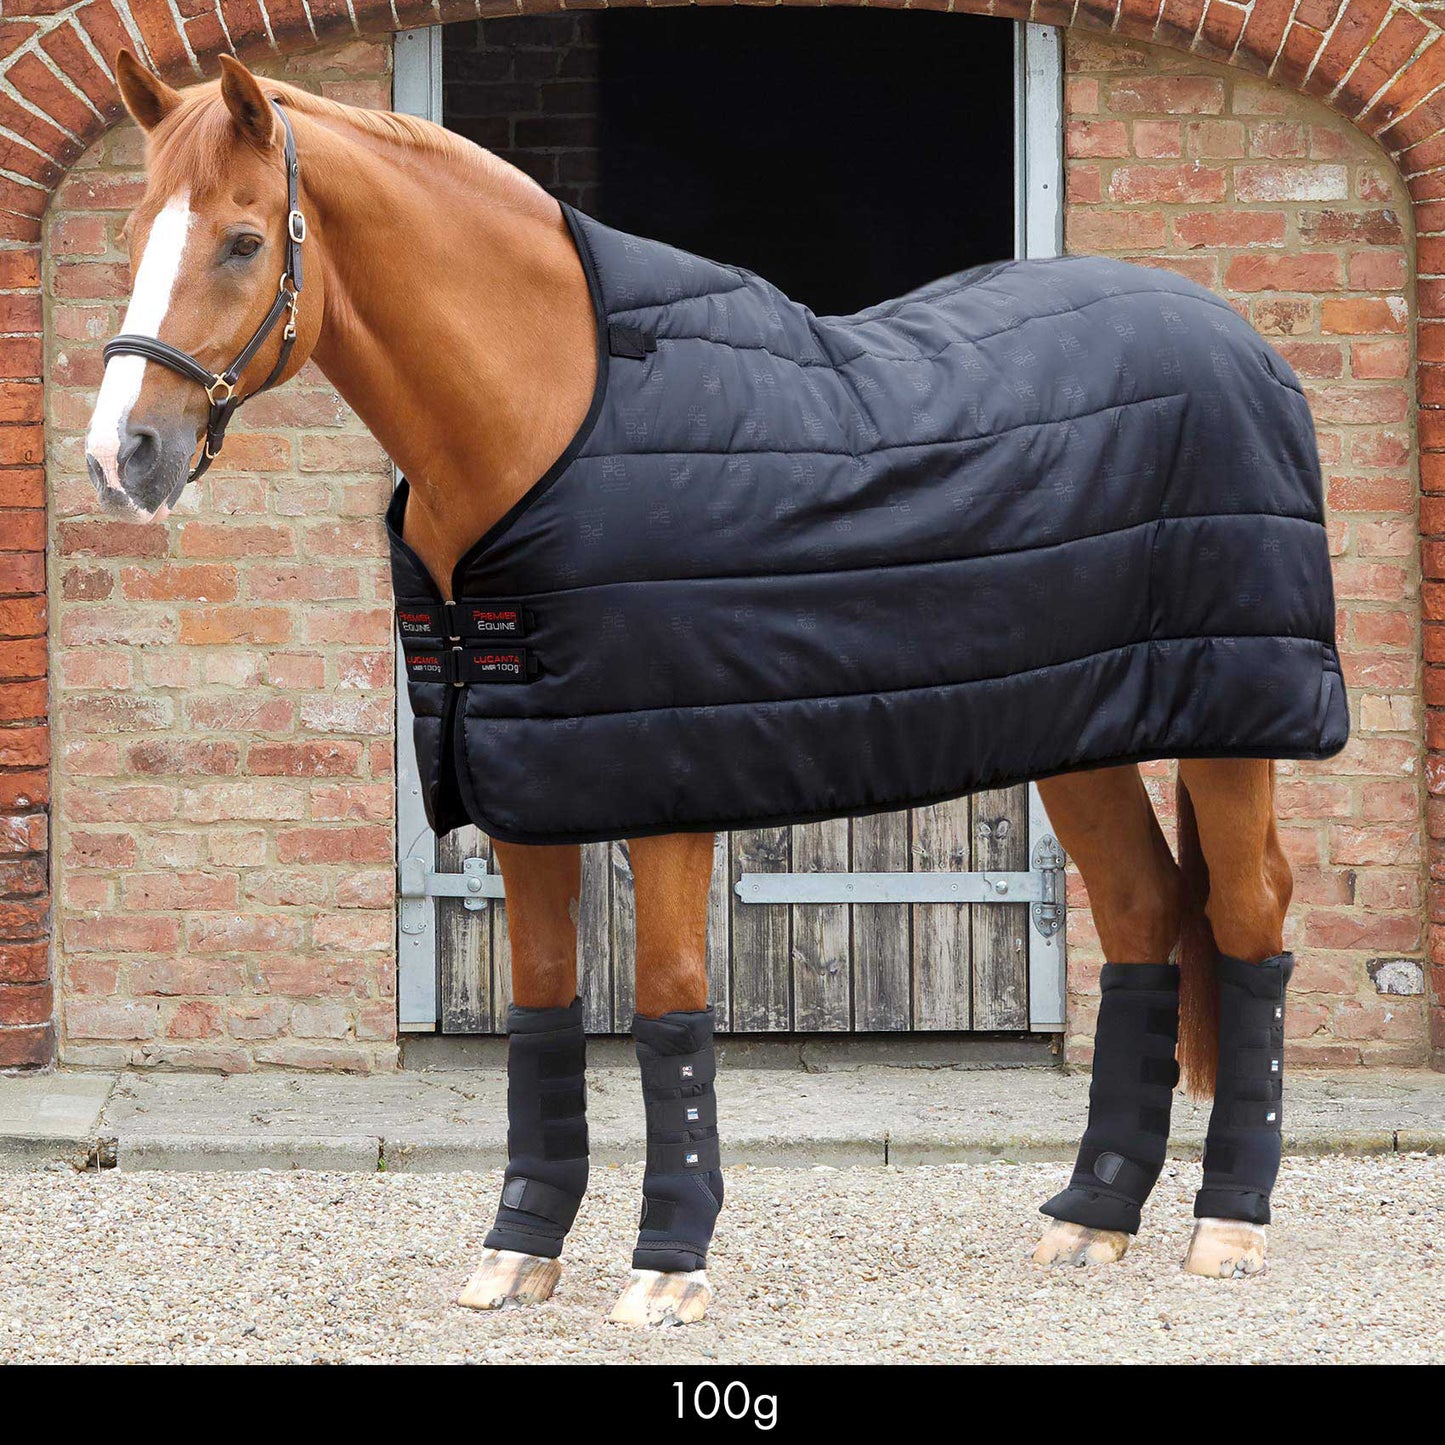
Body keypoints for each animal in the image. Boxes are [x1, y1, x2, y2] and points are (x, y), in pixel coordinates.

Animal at [84, 52, 1322, 1324]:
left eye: (241, 241)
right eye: (132, 233)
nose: (121, 455)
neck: (540, 422)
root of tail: (1234, 338)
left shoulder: (664, 787)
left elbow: (669, 1001)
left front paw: (667, 1263)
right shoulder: (524, 779)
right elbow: (541, 1003)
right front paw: (518, 1244)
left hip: (1233, 724)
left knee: (1248, 916)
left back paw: (1227, 1223)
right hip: (1076, 728)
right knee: (1137, 911)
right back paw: (1092, 1215)